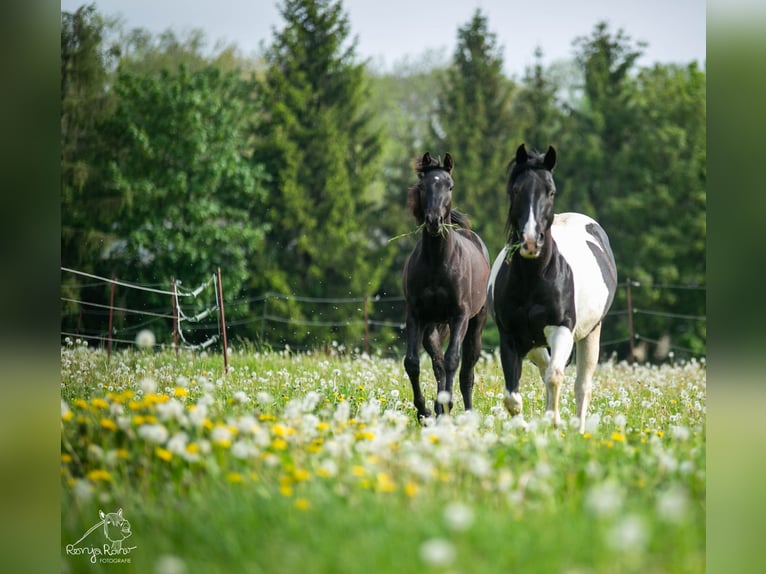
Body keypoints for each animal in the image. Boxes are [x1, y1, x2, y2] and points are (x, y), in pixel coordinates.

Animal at [401, 152, 490, 420]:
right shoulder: (416, 315)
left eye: (449, 186)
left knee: (467, 369)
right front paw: (424, 411)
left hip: (476, 324)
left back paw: (464, 411)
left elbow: (453, 360)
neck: (437, 262)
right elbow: (412, 362)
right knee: (437, 363)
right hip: (431, 327)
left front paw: (447, 405)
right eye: (423, 186)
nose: (433, 221)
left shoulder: (459, 315)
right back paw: (438, 408)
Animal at [487, 144, 617, 433]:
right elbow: (512, 397)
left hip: (591, 333)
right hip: (534, 344)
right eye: (516, 189)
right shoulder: (510, 337)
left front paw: (554, 422)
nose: (530, 242)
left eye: (551, 191)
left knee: (581, 386)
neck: (534, 277)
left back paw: (579, 430)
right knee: (545, 366)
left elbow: (555, 377)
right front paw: (524, 427)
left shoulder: (561, 329)